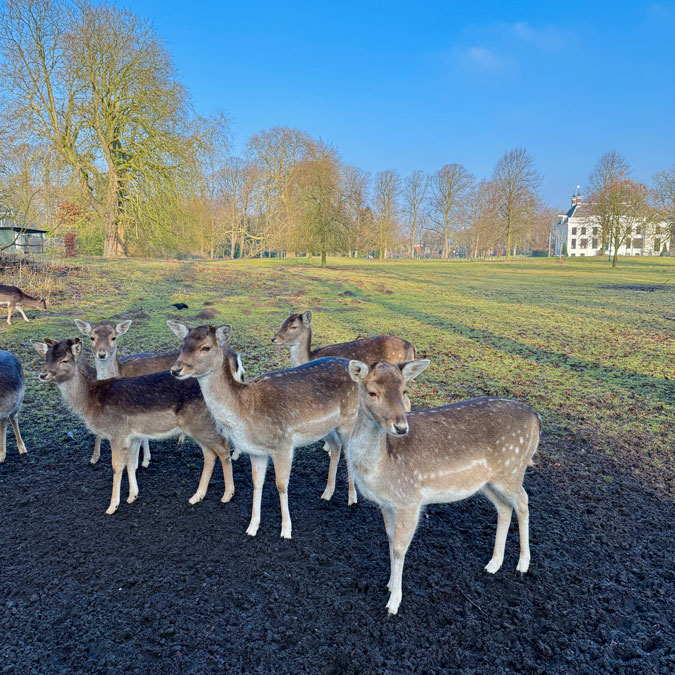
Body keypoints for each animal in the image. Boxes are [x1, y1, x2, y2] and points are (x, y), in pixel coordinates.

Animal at [32, 337, 239, 515]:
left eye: (64, 360)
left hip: (201, 423)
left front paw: (113, 506)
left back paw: (227, 494)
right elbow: (131, 463)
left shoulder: (117, 433)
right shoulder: (132, 435)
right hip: (198, 427)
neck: (92, 401)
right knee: (210, 454)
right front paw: (133, 495)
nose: (43, 374)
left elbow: (117, 466)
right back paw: (197, 496)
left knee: (222, 448)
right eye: (45, 358)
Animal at [167, 322, 361, 539]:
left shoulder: (283, 444)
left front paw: (286, 530)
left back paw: (352, 498)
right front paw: (252, 527)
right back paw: (327, 493)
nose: (176, 369)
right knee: (335, 448)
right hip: (327, 428)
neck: (244, 411)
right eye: (183, 344)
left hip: (350, 419)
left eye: (205, 347)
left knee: (349, 452)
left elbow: (281, 485)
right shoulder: (256, 451)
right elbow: (257, 482)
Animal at [272, 309, 416, 504]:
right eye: (283, 322)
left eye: (293, 326)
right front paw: (327, 446)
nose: (274, 338)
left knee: (406, 401)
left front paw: (327, 447)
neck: (308, 357)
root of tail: (412, 347)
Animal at [346, 359, 540, 615]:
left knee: (524, 501)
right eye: (372, 392)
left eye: (404, 391)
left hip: (512, 470)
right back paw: (493, 563)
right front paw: (388, 584)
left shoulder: (409, 499)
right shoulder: (387, 504)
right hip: (488, 482)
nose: (401, 428)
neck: (382, 467)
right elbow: (390, 539)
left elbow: (399, 549)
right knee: (505, 507)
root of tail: (537, 419)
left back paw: (523, 564)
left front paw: (393, 603)